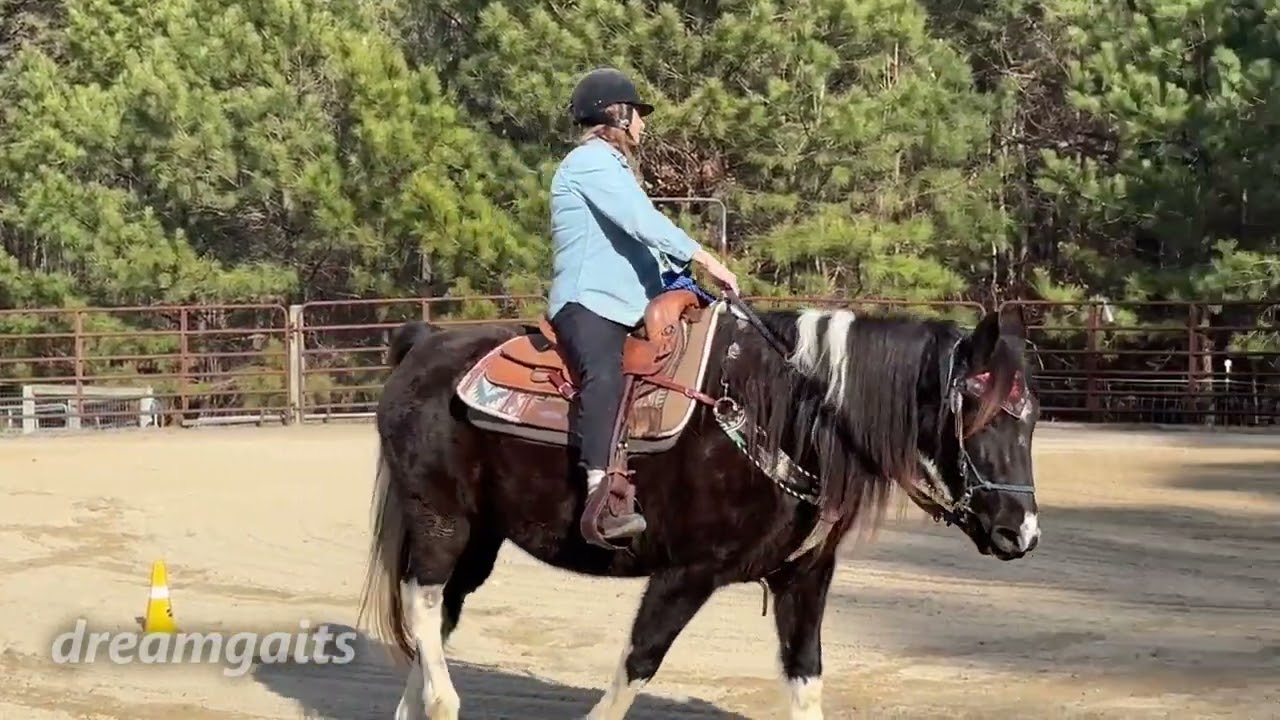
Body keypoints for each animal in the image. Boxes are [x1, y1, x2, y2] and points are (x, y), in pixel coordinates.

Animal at [356, 291, 1041, 720]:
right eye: (976, 417)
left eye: (1031, 419)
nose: (1023, 534)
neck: (781, 415)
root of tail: (423, 343)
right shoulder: (686, 574)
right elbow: (638, 663)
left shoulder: (804, 578)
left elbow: (806, 679)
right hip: (441, 520)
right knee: (422, 603)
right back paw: (443, 703)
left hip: (481, 537)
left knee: (439, 617)